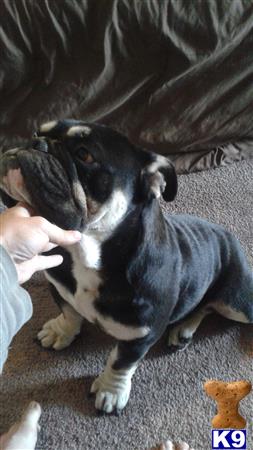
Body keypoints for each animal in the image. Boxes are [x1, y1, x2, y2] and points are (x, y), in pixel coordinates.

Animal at [0, 120, 252, 414]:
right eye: (37, 132)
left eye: (84, 154)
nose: (34, 143)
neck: (86, 252)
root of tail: (227, 235)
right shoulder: (60, 289)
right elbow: (69, 313)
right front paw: (61, 331)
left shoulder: (140, 336)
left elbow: (120, 362)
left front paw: (111, 390)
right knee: (204, 306)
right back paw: (183, 328)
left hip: (238, 303)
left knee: (213, 305)